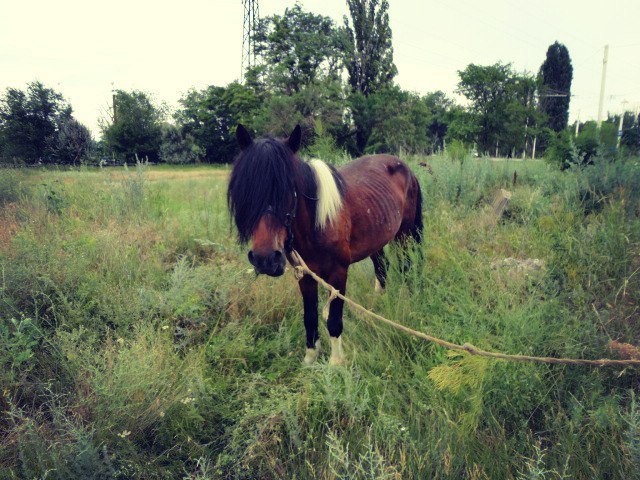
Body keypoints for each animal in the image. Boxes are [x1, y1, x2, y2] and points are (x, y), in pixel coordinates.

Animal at [228, 125, 422, 366]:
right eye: (247, 190)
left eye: (289, 189)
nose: (265, 259)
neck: (317, 223)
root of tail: (406, 168)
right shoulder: (304, 274)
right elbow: (310, 317)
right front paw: (310, 358)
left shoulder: (338, 273)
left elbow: (334, 320)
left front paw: (336, 363)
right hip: (377, 237)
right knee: (382, 267)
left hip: (404, 234)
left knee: (405, 266)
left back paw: (406, 298)